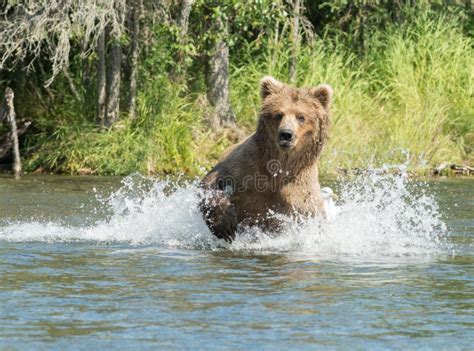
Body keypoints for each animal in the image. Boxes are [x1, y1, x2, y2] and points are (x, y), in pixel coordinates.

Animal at [198, 76, 332, 242]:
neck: (281, 164)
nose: (286, 134)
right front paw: (224, 225)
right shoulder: (247, 166)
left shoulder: (301, 191)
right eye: (278, 114)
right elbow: (213, 180)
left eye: (301, 117)